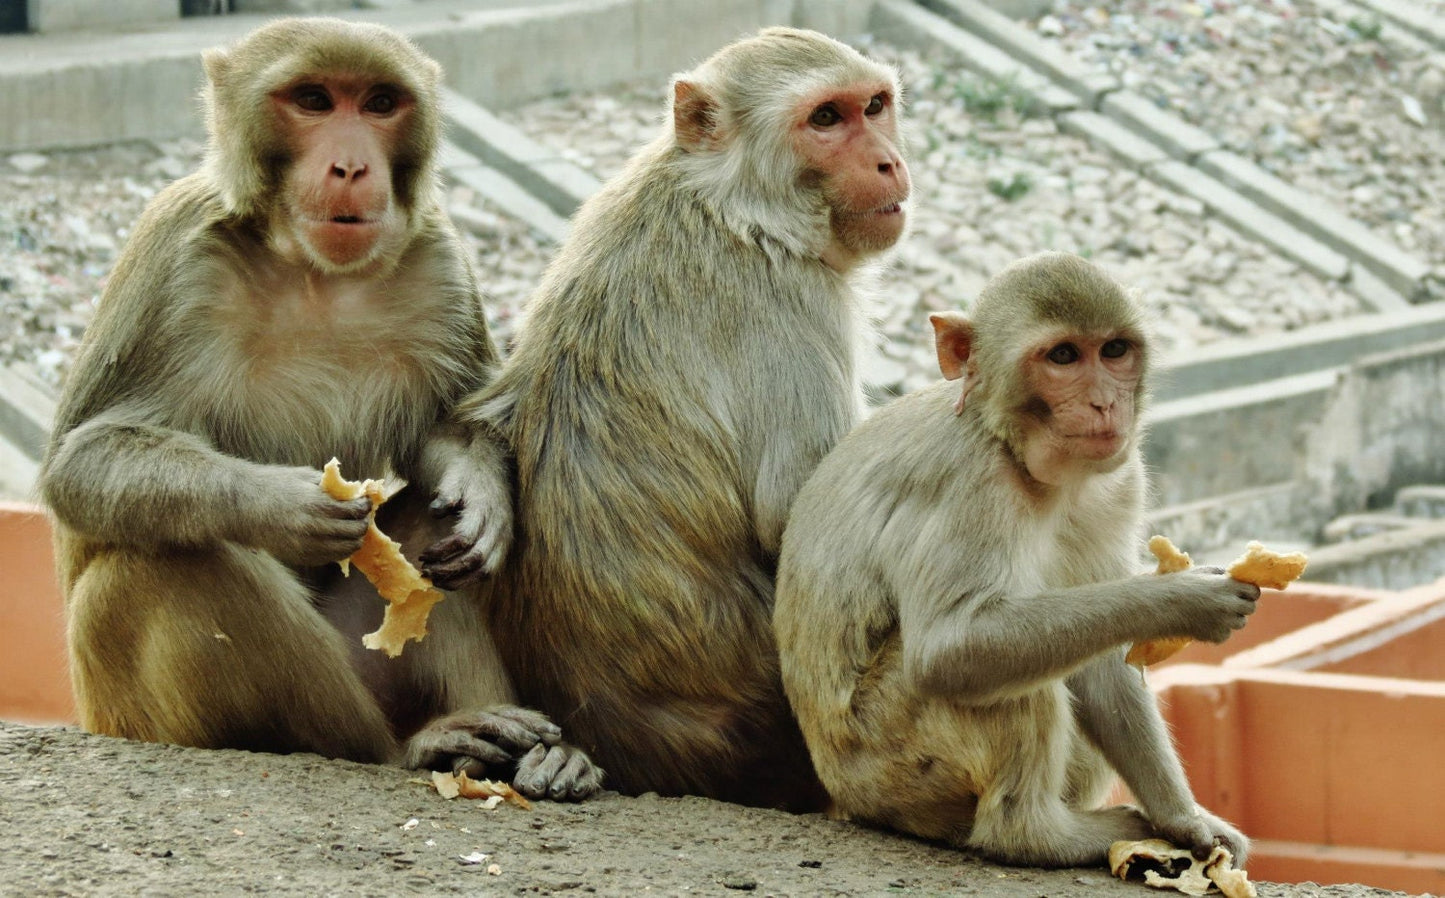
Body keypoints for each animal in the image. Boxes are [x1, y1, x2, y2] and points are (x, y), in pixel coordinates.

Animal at [39, 17, 600, 800]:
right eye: (312, 100)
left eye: (379, 103)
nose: (351, 168)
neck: (312, 272)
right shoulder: (175, 252)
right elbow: (81, 461)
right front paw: (280, 503)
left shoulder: (439, 259)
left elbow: (448, 433)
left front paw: (482, 498)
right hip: (128, 710)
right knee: (165, 562)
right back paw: (408, 748)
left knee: (426, 532)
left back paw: (521, 749)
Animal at [458, 27, 911, 810]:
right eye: (826, 118)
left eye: (875, 106)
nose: (887, 159)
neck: (729, 201)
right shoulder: (795, 302)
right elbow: (799, 521)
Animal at [773, 252, 1258, 867]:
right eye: (1063, 356)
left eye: (1114, 350)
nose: (1105, 403)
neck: (1018, 451)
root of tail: (843, 791)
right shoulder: (972, 481)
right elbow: (951, 649)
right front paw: (1185, 600)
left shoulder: (1122, 481)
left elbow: (1105, 665)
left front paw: (1185, 820)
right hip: (888, 758)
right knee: (1000, 677)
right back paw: (1036, 835)